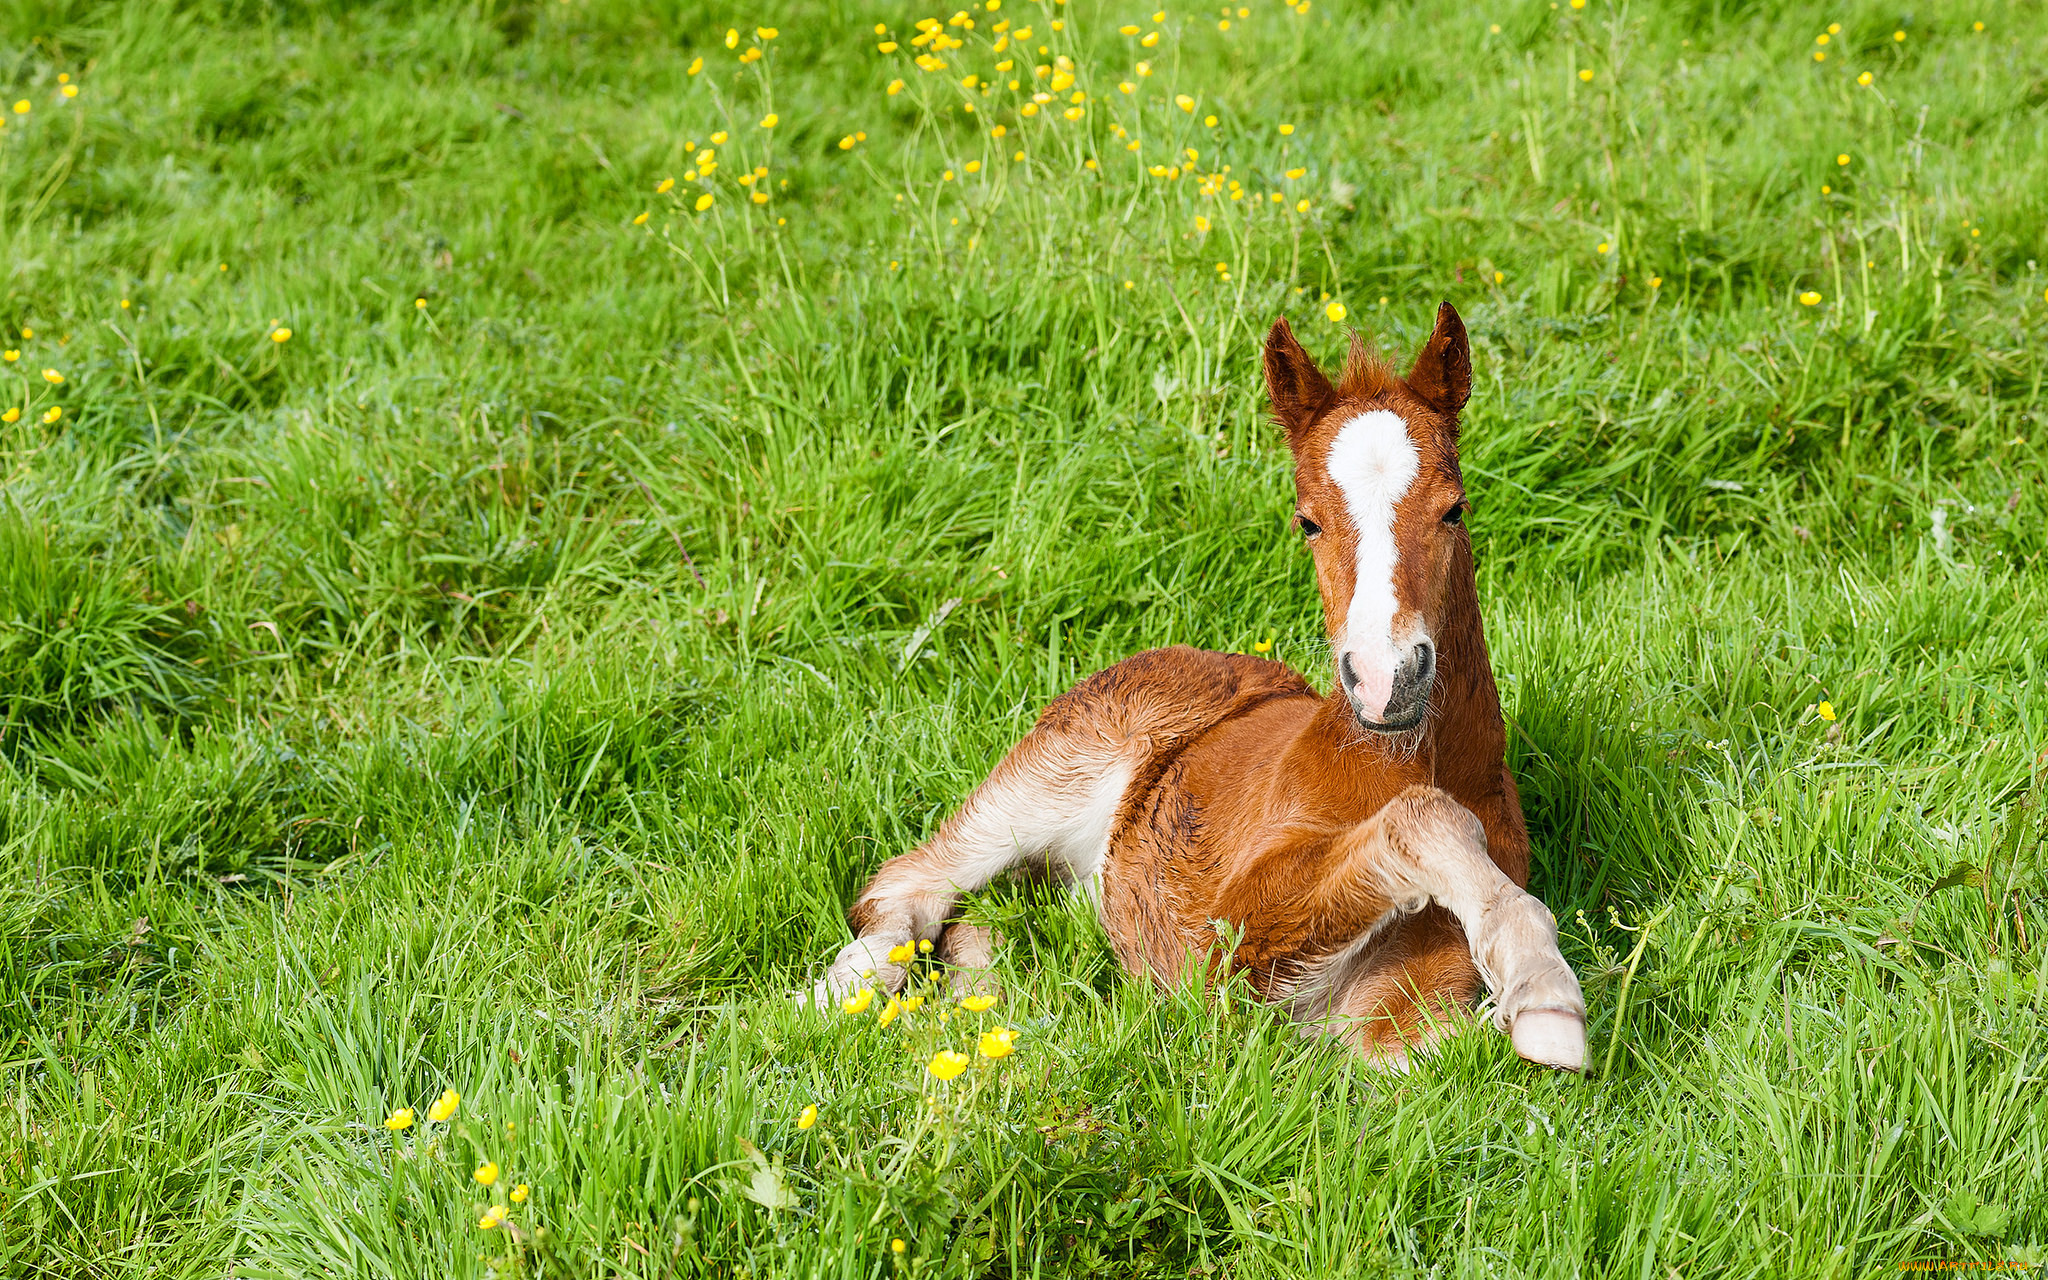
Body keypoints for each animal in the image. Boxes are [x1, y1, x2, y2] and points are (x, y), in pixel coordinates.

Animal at [806, 301, 1589, 1064]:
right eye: (1308, 521)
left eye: (1455, 508)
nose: (1385, 678)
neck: (1408, 760)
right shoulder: (1225, 954)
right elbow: (1422, 820)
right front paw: (1544, 985)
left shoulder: (1395, 1032)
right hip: (1043, 783)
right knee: (911, 883)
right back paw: (846, 993)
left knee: (988, 918)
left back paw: (991, 999)